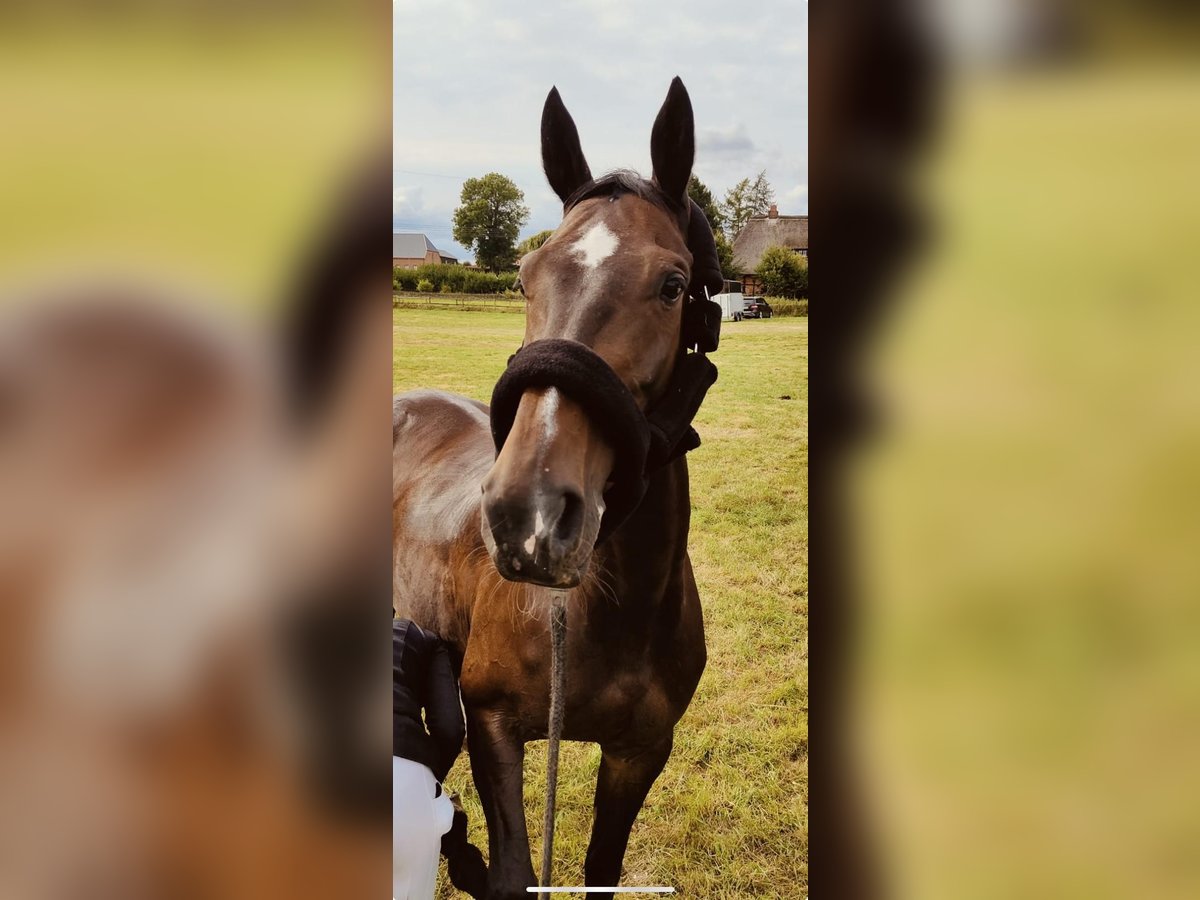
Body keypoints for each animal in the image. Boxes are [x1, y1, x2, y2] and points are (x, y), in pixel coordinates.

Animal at [391, 79, 720, 900]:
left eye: (673, 285)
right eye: (524, 277)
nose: (527, 515)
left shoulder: (641, 752)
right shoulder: (494, 727)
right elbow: (512, 871)